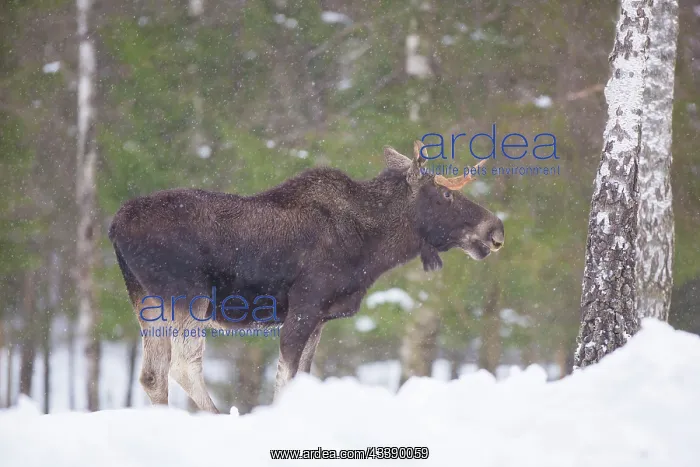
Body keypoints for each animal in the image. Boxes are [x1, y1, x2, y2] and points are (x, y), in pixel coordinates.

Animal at [108, 140, 504, 413]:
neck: (371, 246)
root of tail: (115, 226)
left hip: (145, 298)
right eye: (444, 195)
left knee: (152, 374)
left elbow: (302, 376)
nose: (495, 229)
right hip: (188, 295)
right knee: (182, 365)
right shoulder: (304, 306)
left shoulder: (320, 317)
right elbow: (286, 378)